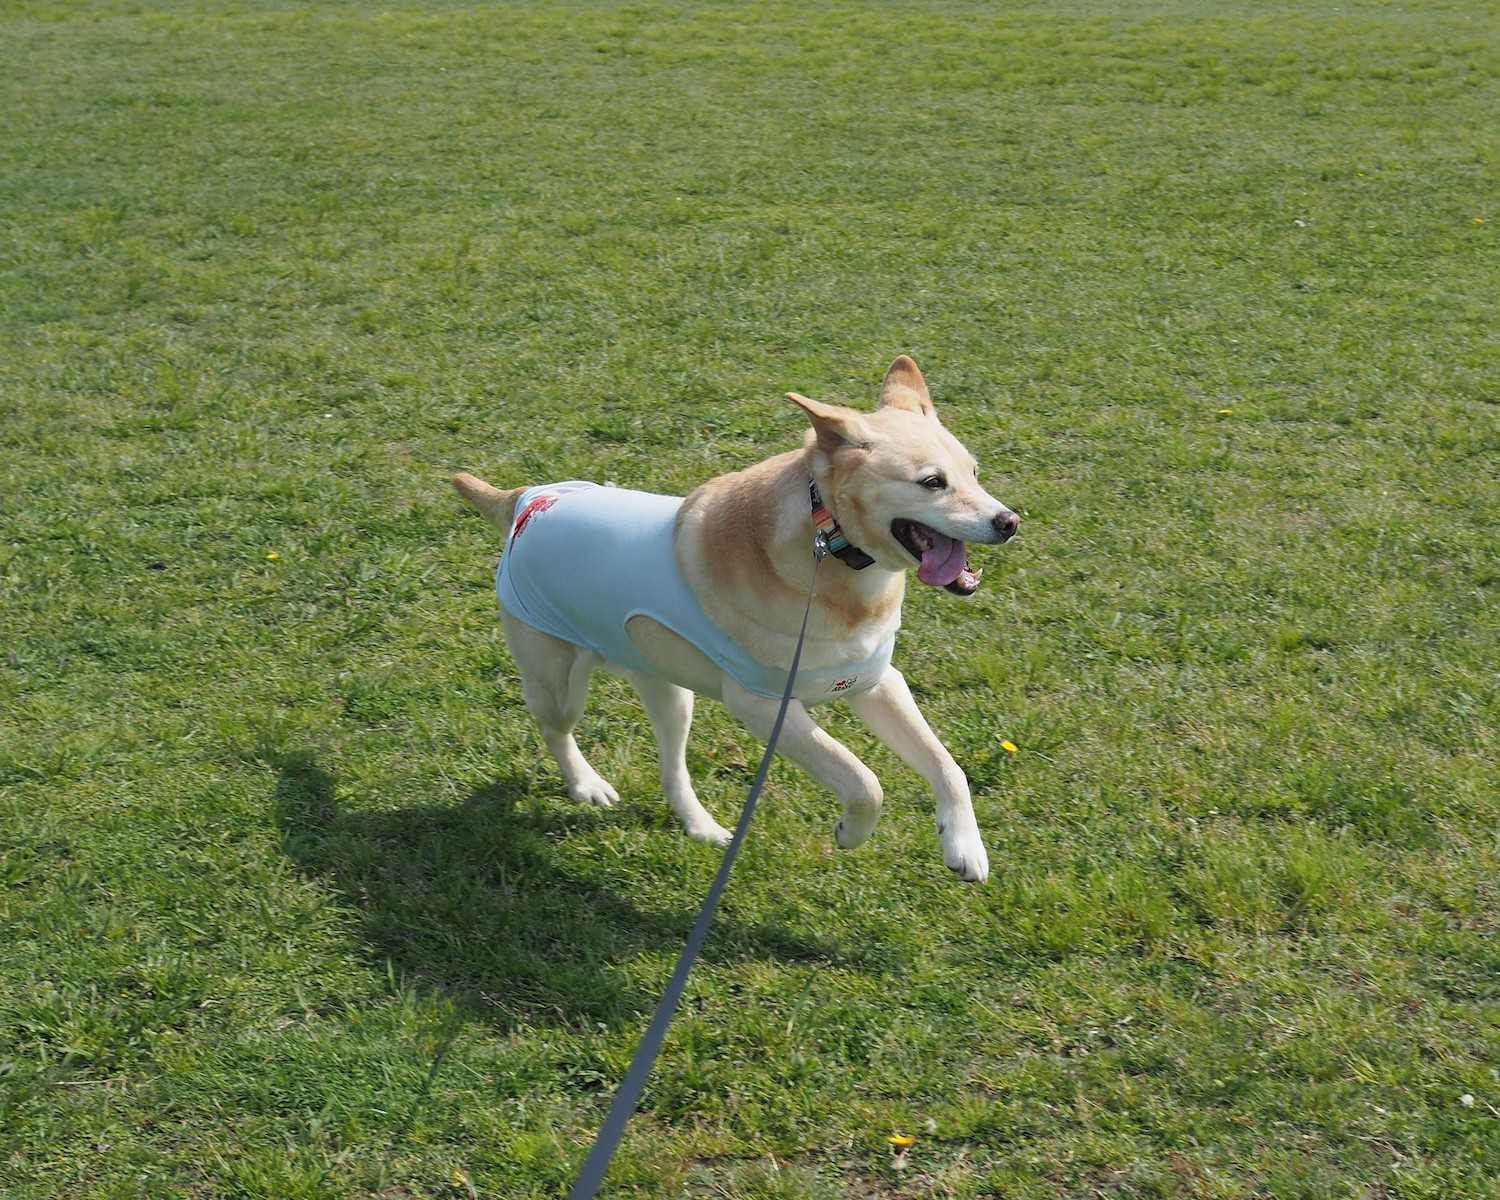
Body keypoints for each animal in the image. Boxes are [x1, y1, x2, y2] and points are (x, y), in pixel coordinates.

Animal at [453, 357, 1020, 882]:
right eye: (931, 482)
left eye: (973, 472)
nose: (1009, 521)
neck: (833, 550)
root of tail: (526, 501)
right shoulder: (764, 707)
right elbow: (863, 781)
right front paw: (851, 831)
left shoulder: (876, 682)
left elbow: (948, 766)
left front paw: (964, 846)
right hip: (558, 682)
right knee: (555, 731)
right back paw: (586, 785)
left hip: (669, 691)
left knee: (672, 769)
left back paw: (701, 826)